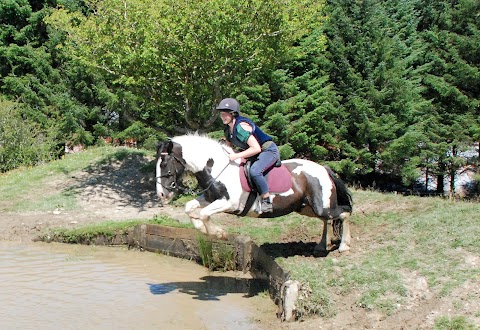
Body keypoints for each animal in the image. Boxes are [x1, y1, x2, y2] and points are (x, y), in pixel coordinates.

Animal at [156, 133, 354, 253]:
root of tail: (324, 169)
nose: (162, 195)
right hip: (306, 207)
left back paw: (344, 246)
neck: (217, 167)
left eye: (164, 163)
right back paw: (322, 245)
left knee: (343, 213)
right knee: (326, 219)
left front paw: (218, 233)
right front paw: (203, 228)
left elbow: (204, 214)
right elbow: (190, 208)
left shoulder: (229, 203)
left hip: (319, 206)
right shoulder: (209, 198)